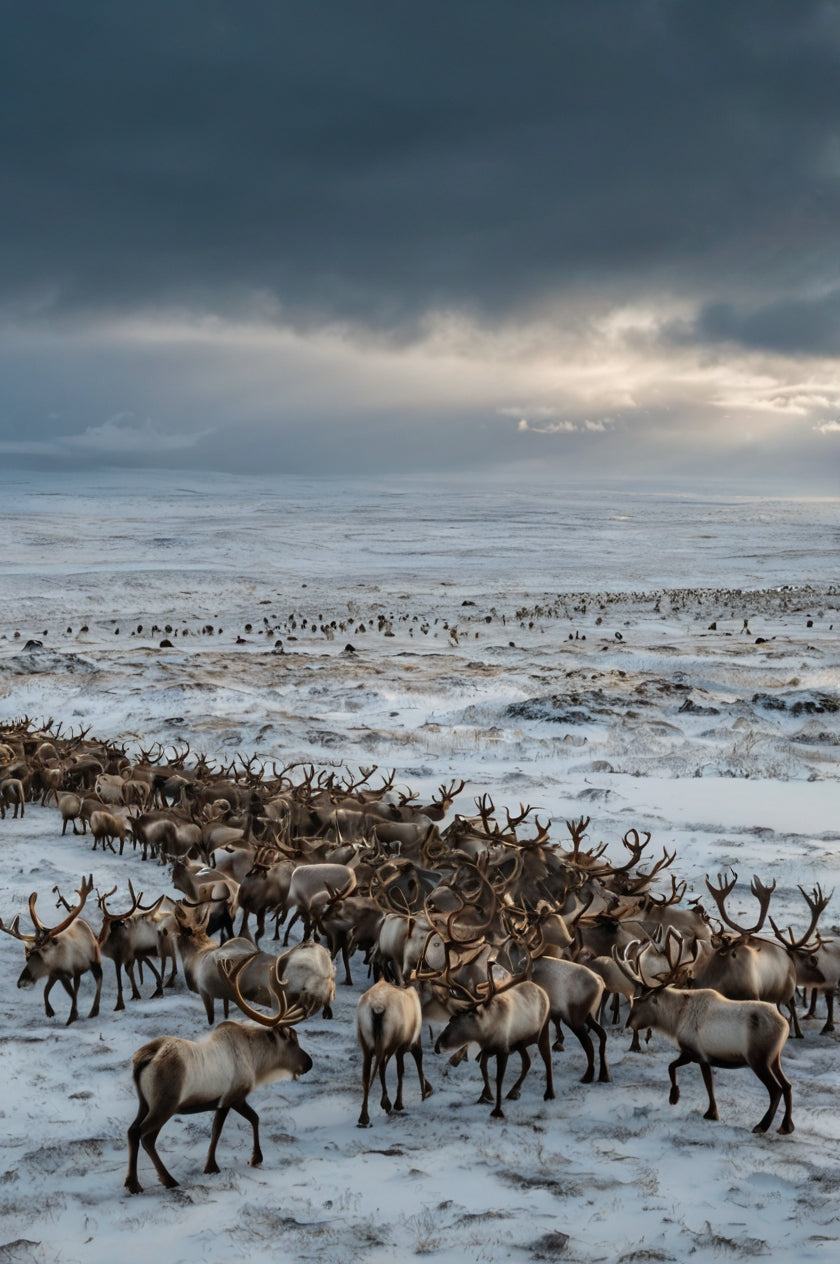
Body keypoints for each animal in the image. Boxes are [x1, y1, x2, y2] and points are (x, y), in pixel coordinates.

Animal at [0, 875, 103, 1024]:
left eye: (42, 952)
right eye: (28, 955)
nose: (21, 982)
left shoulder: (75, 970)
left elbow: (75, 994)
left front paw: (76, 1016)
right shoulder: (56, 974)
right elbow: (49, 991)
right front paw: (52, 1012)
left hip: (91, 964)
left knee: (93, 983)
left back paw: (92, 1010)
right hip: (71, 974)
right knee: (73, 987)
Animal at [125, 953, 313, 1192]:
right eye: (292, 1040)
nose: (308, 1063)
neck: (256, 1061)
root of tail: (143, 1058)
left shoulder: (227, 1100)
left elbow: (249, 1119)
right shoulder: (232, 1097)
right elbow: (225, 1128)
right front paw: (219, 1164)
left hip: (144, 1102)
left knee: (132, 1131)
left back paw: (133, 1182)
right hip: (165, 1104)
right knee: (145, 1135)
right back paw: (165, 1179)